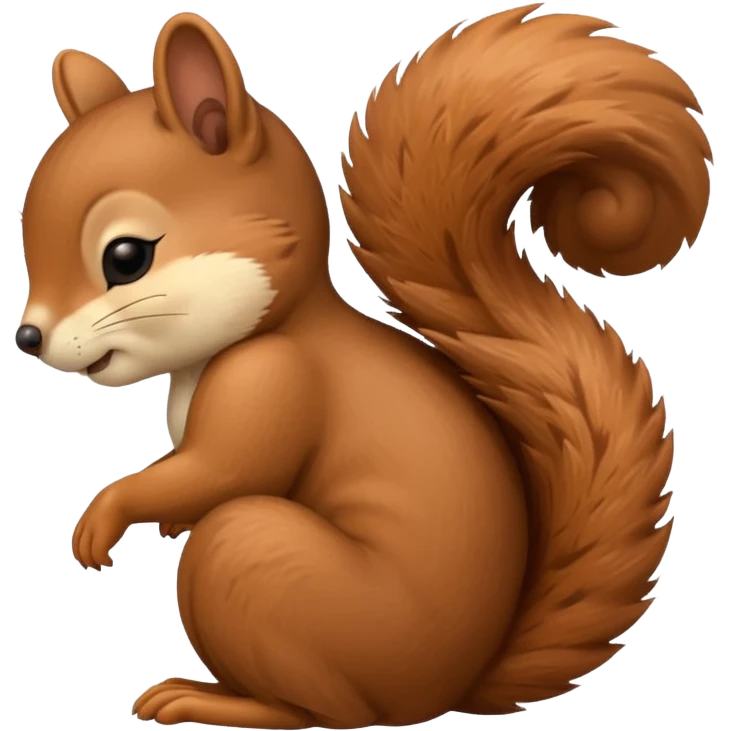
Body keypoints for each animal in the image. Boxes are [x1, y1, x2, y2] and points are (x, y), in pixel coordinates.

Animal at [17, 4, 709, 728]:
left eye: (126, 257)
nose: (28, 336)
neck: (274, 323)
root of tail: (444, 691)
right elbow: (197, 476)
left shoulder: (275, 376)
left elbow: (226, 468)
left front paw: (106, 513)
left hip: (256, 560)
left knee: (318, 709)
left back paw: (210, 698)